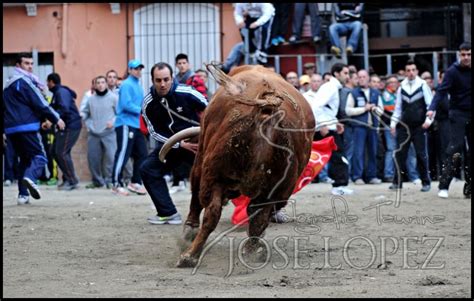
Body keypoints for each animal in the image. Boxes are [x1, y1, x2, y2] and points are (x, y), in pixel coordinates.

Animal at [158, 63, 314, 264]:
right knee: (258, 219)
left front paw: (189, 231)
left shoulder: (201, 161)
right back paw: (250, 250)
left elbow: (196, 197)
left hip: (213, 174)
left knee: (211, 211)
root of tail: (267, 111)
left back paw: (189, 255)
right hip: (276, 190)